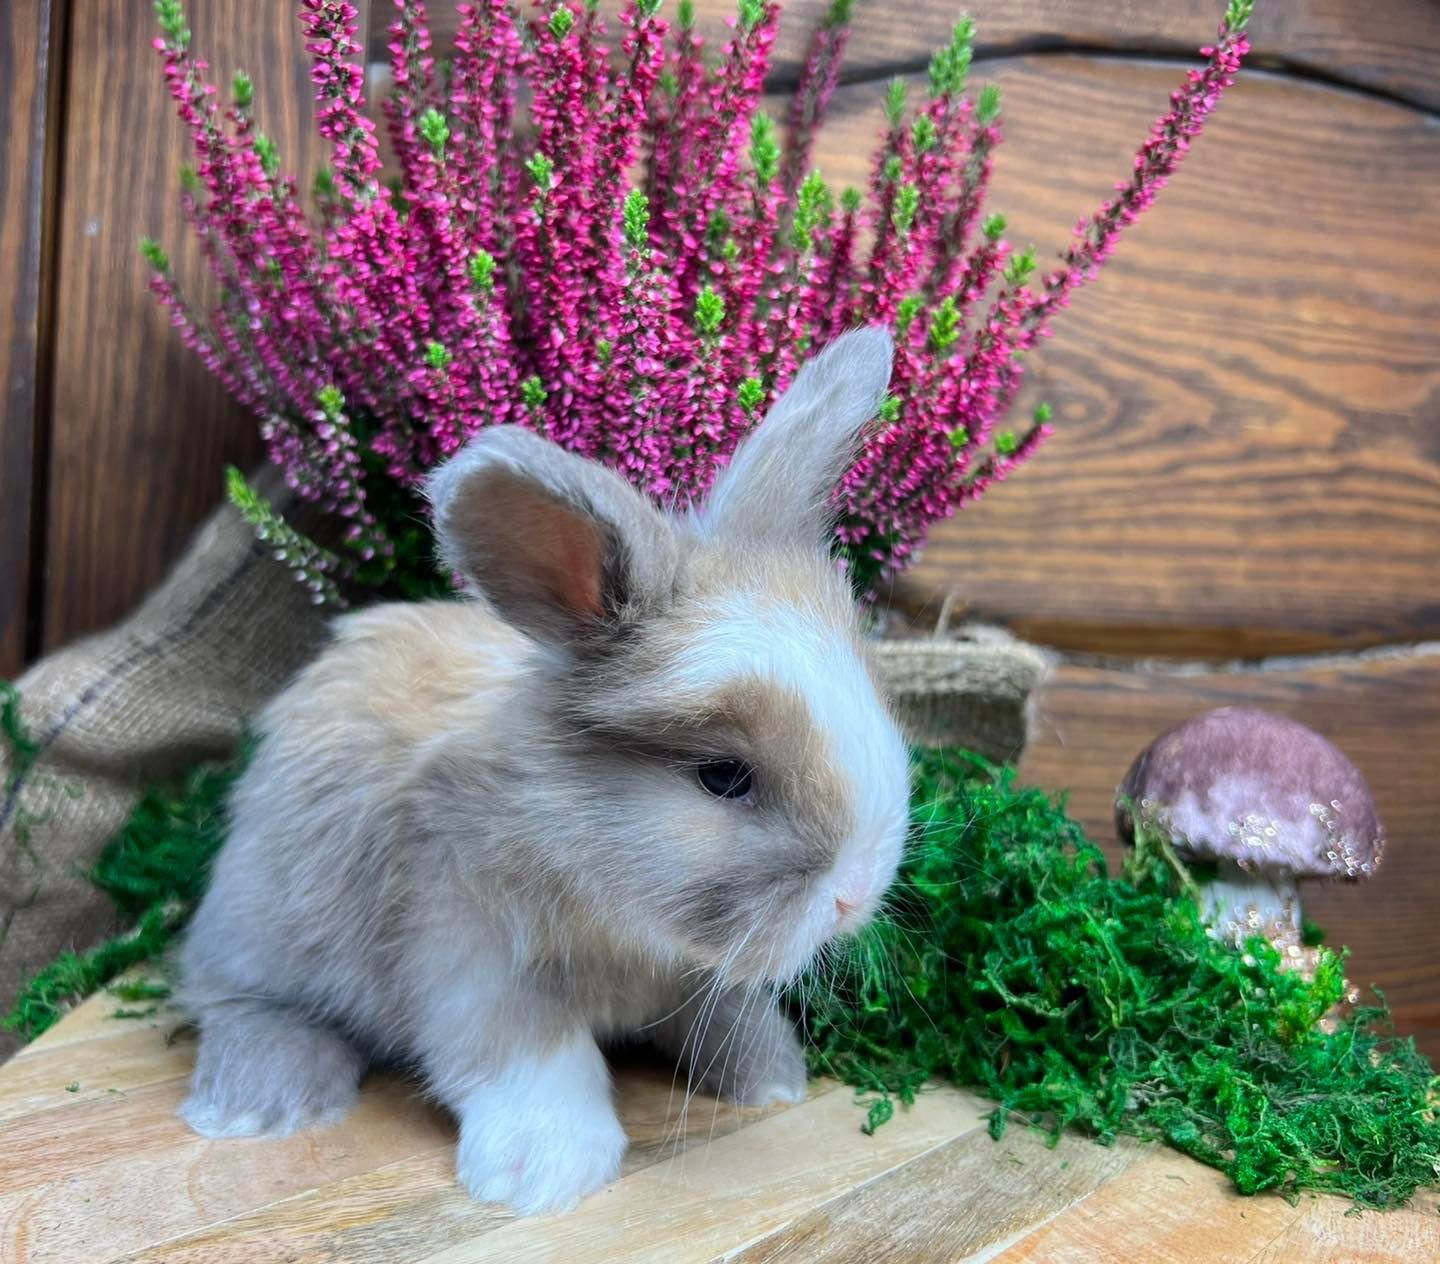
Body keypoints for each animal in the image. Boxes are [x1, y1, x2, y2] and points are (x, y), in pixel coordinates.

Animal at [174, 326, 904, 1215]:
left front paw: (772, 1080)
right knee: (234, 998)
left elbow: (727, 1011)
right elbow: (532, 1059)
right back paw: (263, 1102)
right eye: (723, 776)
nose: (856, 892)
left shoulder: (694, 976)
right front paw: (544, 1177)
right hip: (268, 924)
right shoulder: (473, 957)